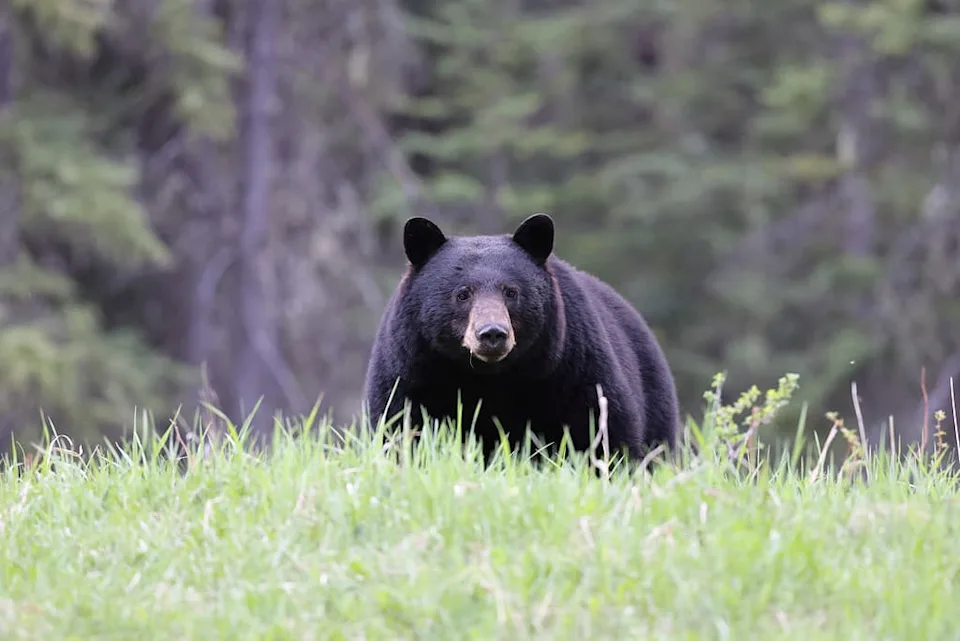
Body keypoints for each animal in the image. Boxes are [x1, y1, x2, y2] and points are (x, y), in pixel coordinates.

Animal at [362, 212, 681, 464]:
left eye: (511, 291)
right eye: (462, 294)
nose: (492, 333)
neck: (488, 378)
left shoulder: (574, 370)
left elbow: (602, 432)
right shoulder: (411, 374)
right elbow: (400, 430)